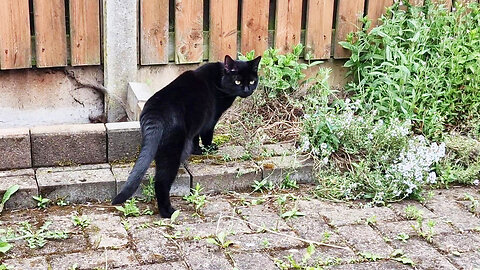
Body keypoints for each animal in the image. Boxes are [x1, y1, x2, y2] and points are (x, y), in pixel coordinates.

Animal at [112, 54, 260, 217]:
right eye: (237, 81)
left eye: (252, 81)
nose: (247, 90)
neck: (219, 81)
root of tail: (154, 113)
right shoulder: (210, 121)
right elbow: (207, 136)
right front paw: (209, 149)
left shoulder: (198, 123)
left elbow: (195, 138)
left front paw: (197, 151)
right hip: (172, 151)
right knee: (161, 182)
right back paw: (168, 212)